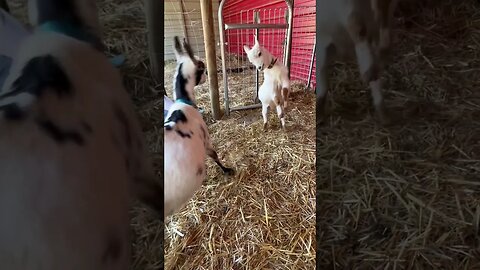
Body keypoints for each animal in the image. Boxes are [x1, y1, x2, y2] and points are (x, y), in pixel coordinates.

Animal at [163, 37, 234, 219]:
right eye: (201, 65)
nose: (206, 75)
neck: (184, 102)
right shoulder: (205, 140)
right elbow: (214, 155)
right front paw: (227, 170)